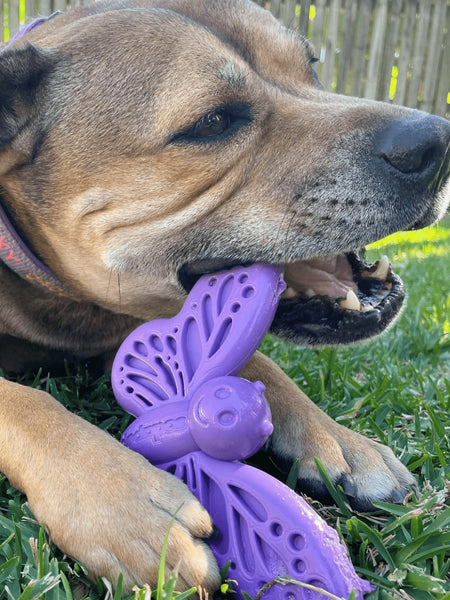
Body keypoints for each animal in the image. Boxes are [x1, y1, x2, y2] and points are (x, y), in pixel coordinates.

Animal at [0, 0, 448, 592]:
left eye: (311, 68)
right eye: (211, 122)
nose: (436, 142)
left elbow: (255, 359)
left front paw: (338, 439)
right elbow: (22, 400)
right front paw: (123, 503)